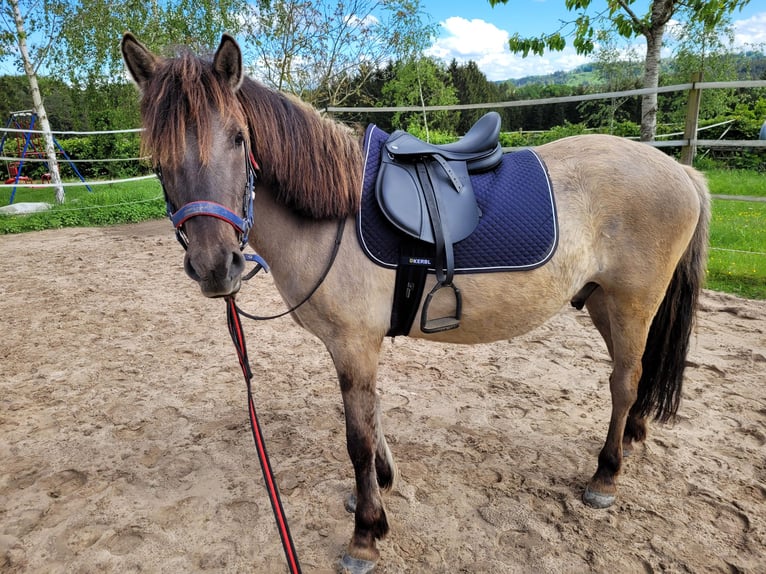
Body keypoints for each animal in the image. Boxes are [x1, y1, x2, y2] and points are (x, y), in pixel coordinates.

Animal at [120, 32, 712, 574]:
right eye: (157, 158)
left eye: (240, 139)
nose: (216, 266)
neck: (334, 212)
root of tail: (679, 170)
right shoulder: (355, 348)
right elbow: (373, 417)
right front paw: (379, 489)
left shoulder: (354, 345)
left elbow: (357, 437)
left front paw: (366, 534)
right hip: (603, 304)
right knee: (631, 374)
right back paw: (631, 439)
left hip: (633, 303)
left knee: (624, 381)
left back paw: (606, 474)